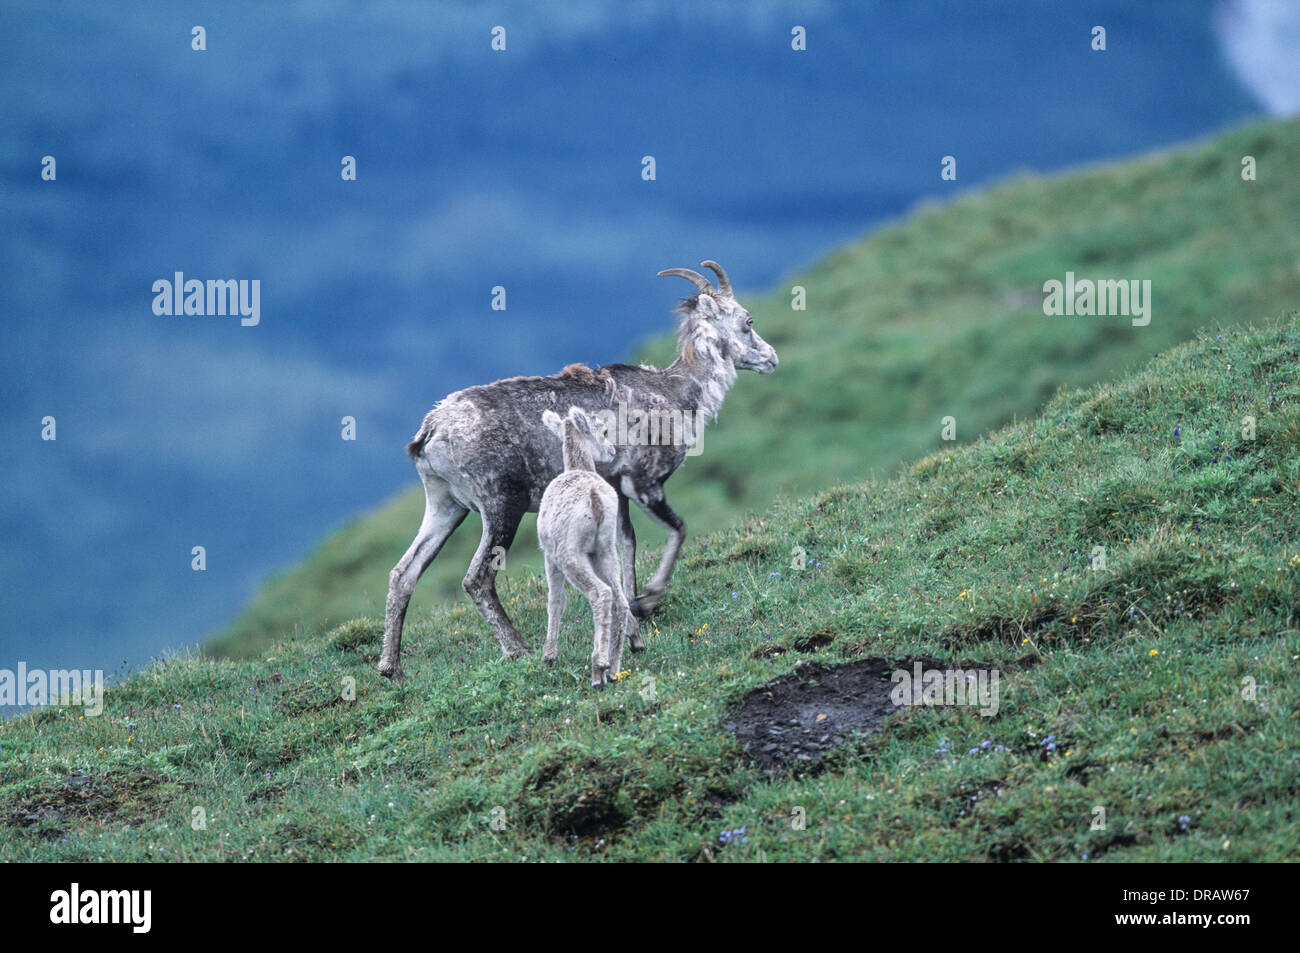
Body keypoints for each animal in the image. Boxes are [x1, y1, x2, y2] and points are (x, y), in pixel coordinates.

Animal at [535, 405, 631, 681]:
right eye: (605, 431)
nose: (612, 450)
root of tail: (594, 498)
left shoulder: (549, 558)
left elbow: (555, 601)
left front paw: (549, 657)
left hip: (572, 556)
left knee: (600, 593)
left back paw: (599, 668)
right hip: (606, 551)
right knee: (620, 600)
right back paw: (614, 669)